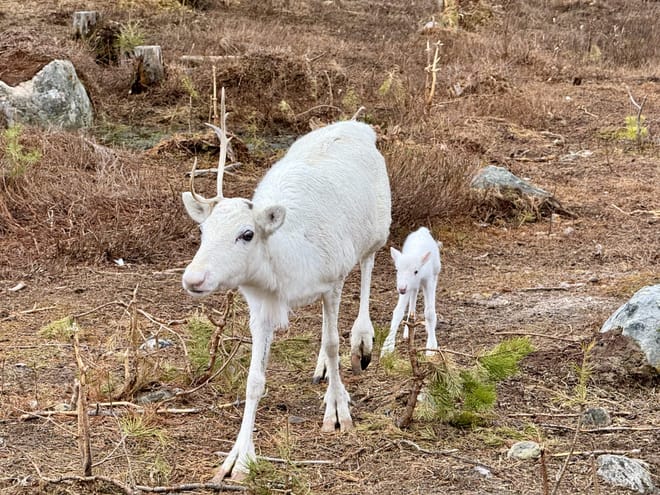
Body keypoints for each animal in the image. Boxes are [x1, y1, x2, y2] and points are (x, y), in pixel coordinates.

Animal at [181, 89, 391, 481]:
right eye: (203, 230)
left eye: (247, 234)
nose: (194, 278)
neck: (287, 271)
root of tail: (359, 125)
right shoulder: (260, 305)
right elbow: (254, 380)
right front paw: (238, 459)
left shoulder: (332, 280)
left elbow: (334, 343)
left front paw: (338, 412)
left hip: (378, 230)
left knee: (368, 267)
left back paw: (362, 339)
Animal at [381, 227, 442, 357]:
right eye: (397, 269)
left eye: (416, 271)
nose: (401, 289)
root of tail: (422, 230)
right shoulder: (406, 285)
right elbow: (398, 311)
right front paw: (387, 347)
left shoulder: (428, 280)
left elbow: (429, 312)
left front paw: (431, 348)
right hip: (411, 286)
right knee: (413, 297)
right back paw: (408, 330)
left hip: (436, 272)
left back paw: (428, 328)